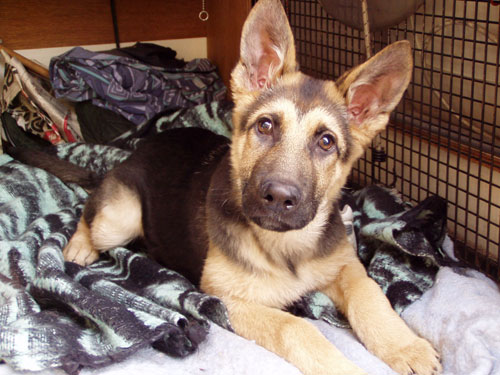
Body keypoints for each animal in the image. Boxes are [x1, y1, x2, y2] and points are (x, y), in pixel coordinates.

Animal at [12, 1, 442, 374]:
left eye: (326, 142)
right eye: (266, 125)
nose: (279, 197)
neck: (286, 246)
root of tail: (133, 153)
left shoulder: (345, 266)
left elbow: (371, 296)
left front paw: (406, 347)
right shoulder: (225, 298)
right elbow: (296, 327)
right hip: (120, 218)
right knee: (89, 214)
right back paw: (80, 245)